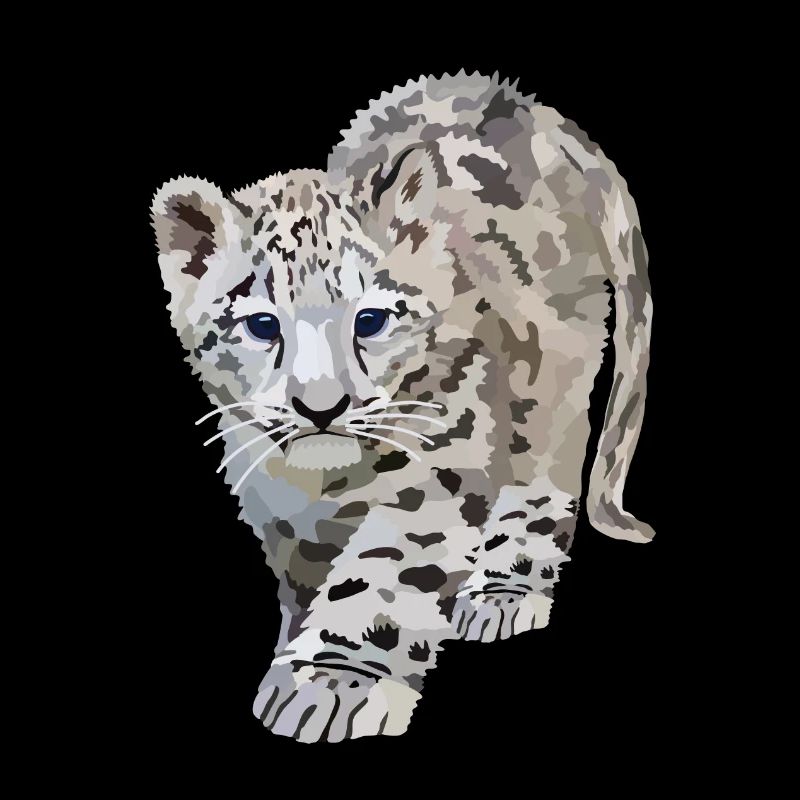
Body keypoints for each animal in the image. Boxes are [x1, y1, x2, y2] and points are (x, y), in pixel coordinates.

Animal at [151, 71, 656, 743]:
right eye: (261, 324)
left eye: (370, 319)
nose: (320, 408)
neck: (322, 484)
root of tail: (527, 105)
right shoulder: (276, 508)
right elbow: (307, 576)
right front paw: (296, 645)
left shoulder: (438, 469)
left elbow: (382, 574)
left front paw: (330, 682)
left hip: (551, 389)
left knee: (541, 478)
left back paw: (502, 592)